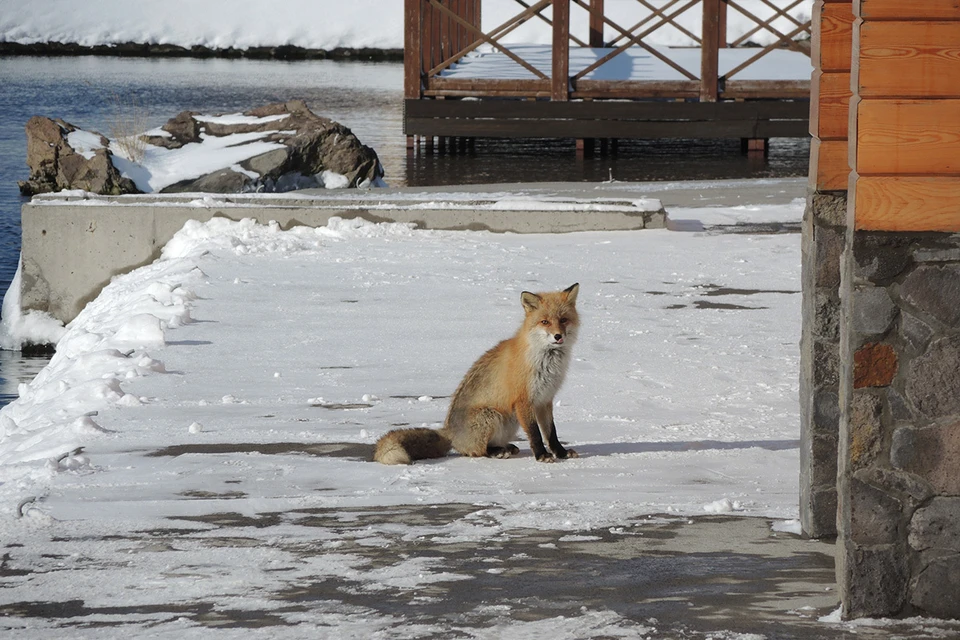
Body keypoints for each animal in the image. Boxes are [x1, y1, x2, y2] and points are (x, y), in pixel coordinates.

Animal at [376, 284, 580, 464]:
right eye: (545, 322)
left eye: (563, 320)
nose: (558, 336)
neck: (545, 360)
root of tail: (450, 432)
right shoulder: (523, 400)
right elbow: (535, 434)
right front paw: (542, 456)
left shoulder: (544, 400)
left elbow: (551, 432)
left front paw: (561, 453)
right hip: (492, 416)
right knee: (478, 451)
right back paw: (497, 451)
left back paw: (506, 447)